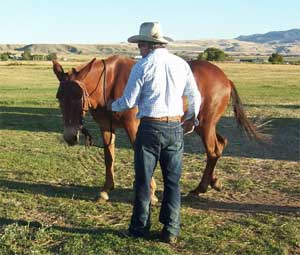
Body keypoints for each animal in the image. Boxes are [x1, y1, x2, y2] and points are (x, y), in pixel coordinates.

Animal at [53, 55, 262, 203]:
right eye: (59, 97)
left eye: (78, 96)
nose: (70, 136)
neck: (111, 83)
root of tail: (225, 78)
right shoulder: (106, 126)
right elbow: (109, 157)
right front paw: (106, 190)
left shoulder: (133, 126)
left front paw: (151, 192)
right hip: (202, 125)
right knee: (220, 145)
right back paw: (213, 181)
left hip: (206, 124)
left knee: (212, 152)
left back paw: (199, 189)